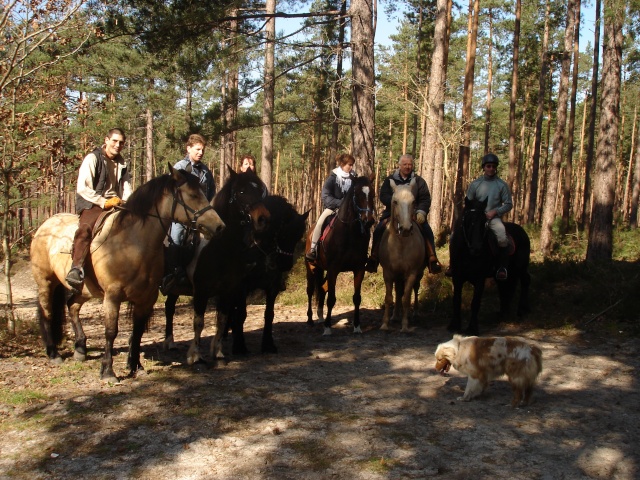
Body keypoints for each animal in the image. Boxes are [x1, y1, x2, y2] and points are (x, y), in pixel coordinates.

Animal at [30, 167, 225, 380]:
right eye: (193, 195)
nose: (219, 226)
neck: (132, 245)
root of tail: (45, 224)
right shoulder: (112, 296)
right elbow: (111, 331)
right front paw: (108, 370)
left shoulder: (146, 298)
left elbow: (137, 330)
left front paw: (136, 366)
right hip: (46, 282)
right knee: (47, 313)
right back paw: (53, 353)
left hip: (84, 290)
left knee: (72, 306)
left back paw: (80, 349)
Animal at [161, 167, 272, 366]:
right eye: (241, 192)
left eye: (260, 190)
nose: (263, 219)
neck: (220, 248)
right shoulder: (201, 291)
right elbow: (199, 322)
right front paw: (195, 355)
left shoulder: (228, 291)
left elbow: (222, 319)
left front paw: (218, 352)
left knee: (169, 307)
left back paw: (170, 342)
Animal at [304, 174, 376, 336]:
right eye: (357, 194)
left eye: (373, 194)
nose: (368, 221)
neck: (349, 233)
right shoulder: (333, 269)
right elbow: (331, 299)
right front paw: (327, 328)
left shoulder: (359, 269)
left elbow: (357, 298)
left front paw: (357, 326)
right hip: (311, 267)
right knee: (310, 291)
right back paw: (311, 319)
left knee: (322, 288)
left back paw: (320, 317)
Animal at [378, 178, 428, 332]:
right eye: (395, 201)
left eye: (413, 202)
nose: (406, 228)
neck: (400, 243)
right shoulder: (388, 272)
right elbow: (389, 297)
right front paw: (385, 324)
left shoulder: (411, 273)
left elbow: (406, 297)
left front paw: (405, 326)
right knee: (398, 291)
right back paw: (395, 316)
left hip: (418, 273)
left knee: (414, 290)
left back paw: (415, 313)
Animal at [444, 197, 528, 336]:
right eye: (468, 221)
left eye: (484, 222)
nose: (476, 248)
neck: (468, 254)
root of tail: (522, 231)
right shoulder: (457, 277)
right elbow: (456, 300)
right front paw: (454, 325)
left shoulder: (480, 279)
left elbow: (475, 302)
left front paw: (472, 328)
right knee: (504, 287)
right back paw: (503, 314)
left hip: (521, 267)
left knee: (526, 281)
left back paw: (522, 310)